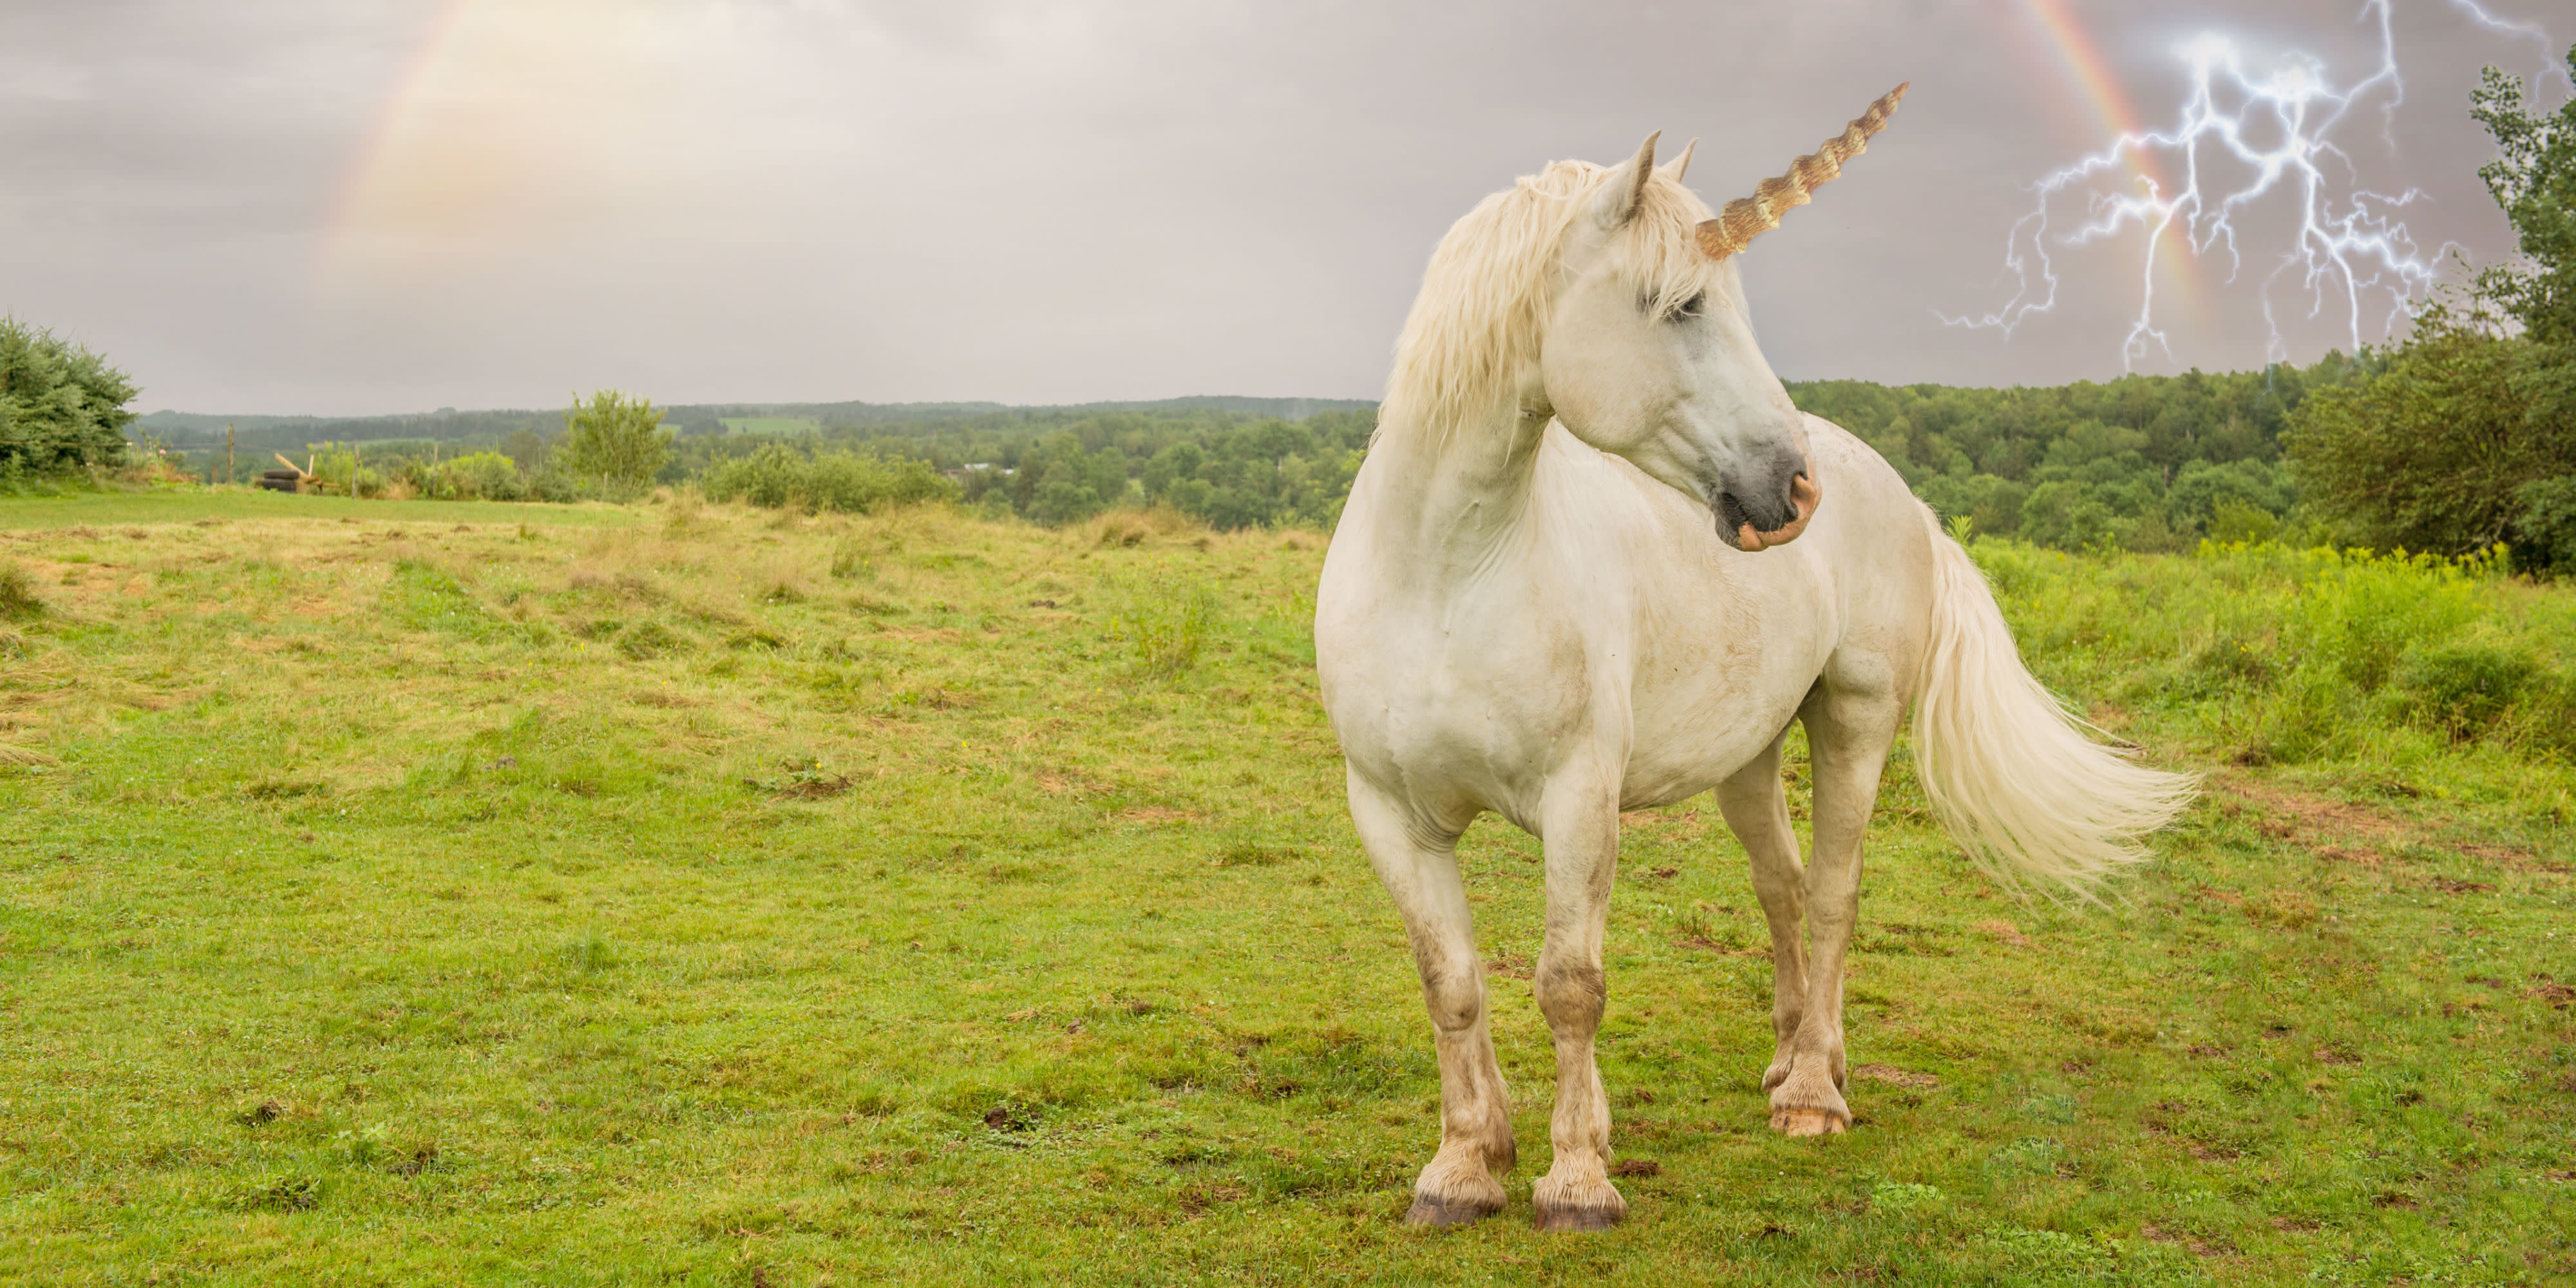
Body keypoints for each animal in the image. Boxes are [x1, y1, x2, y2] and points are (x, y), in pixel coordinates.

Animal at [1319, 86, 2184, 1231]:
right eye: (1682, 306)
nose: (1795, 487)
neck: (1446, 573)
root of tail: (1896, 488)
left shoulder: (1579, 799)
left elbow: (1570, 983)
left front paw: (1578, 1180)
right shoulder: (1390, 810)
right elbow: (1450, 983)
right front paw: (1463, 1167)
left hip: (1854, 718)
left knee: (1832, 893)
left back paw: (1815, 1093)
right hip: (1745, 753)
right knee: (1781, 886)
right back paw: (1790, 1059)